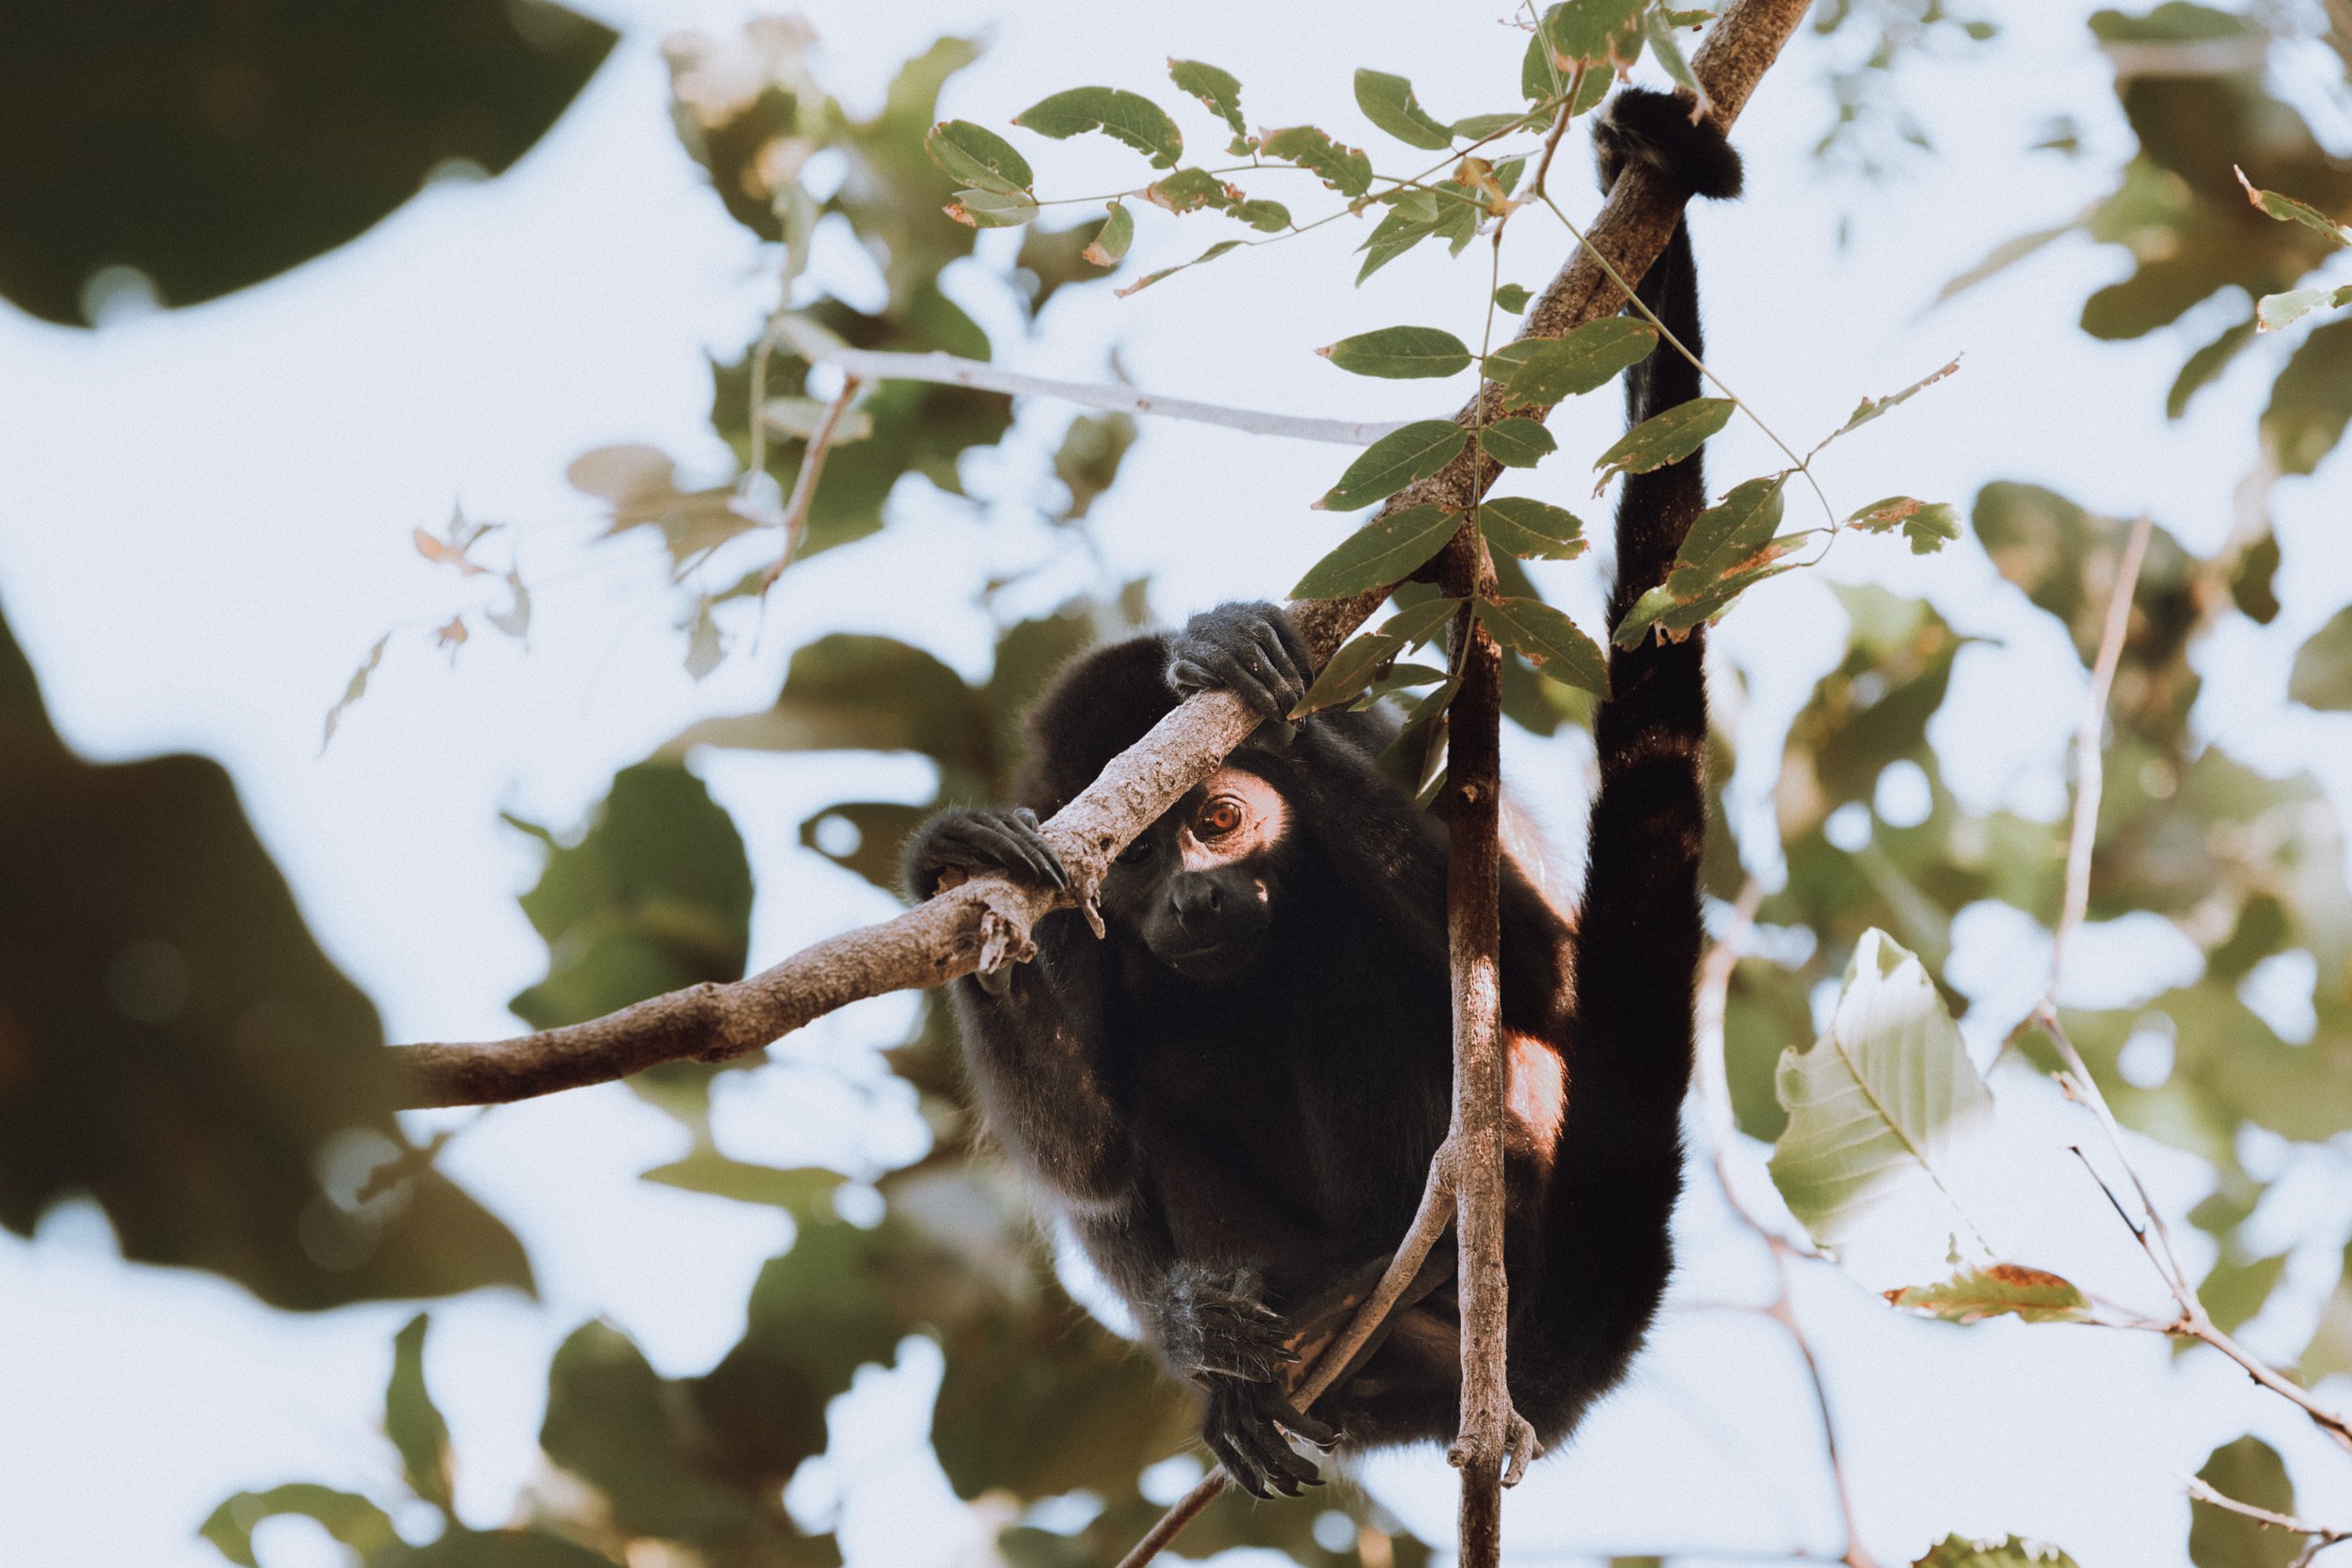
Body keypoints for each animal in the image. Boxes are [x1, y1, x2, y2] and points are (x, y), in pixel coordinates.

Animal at [900, 89, 1740, 1499]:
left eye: (1219, 819)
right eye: (1136, 859)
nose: (1190, 900)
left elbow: (1544, 979)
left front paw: (1245, 675)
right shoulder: (1083, 908)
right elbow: (1093, 1158)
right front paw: (959, 861)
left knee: (1353, 963)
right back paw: (1227, 1340)